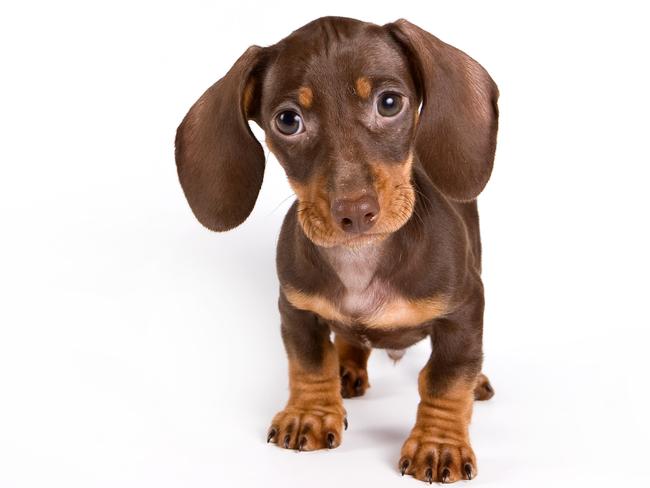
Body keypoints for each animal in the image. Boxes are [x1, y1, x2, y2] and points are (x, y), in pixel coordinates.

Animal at [172, 16, 496, 484]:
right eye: (288, 120)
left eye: (389, 102)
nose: (355, 212)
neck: (362, 258)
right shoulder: (295, 308)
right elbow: (309, 362)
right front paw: (310, 412)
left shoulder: (464, 311)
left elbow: (447, 379)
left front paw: (438, 444)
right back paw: (348, 367)